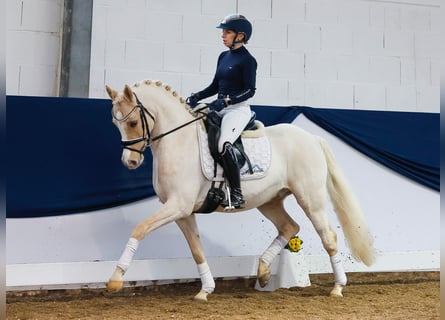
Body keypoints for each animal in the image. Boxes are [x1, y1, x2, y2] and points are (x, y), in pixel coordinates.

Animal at [104, 79, 374, 300]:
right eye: (115, 123)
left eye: (133, 122)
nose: (130, 162)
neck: (179, 141)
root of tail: (312, 138)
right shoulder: (182, 212)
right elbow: (196, 250)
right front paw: (205, 290)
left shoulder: (178, 205)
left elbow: (140, 229)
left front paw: (116, 279)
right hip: (269, 201)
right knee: (290, 227)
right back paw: (263, 272)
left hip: (311, 199)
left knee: (328, 236)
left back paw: (338, 287)